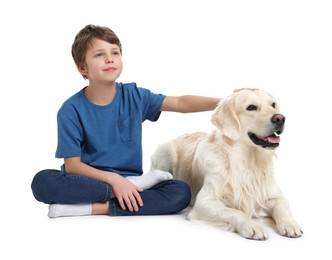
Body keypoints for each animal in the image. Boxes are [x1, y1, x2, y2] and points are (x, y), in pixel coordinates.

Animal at [152, 89, 302, 240]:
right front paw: (252, 226)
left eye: (273, 105)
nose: (280, 118)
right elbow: (235, 212)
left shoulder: (275, 195)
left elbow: (282, 207)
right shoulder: (204, 202)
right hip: (165, 152)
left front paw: (290, 224)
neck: (248, 161)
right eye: (251, 107)